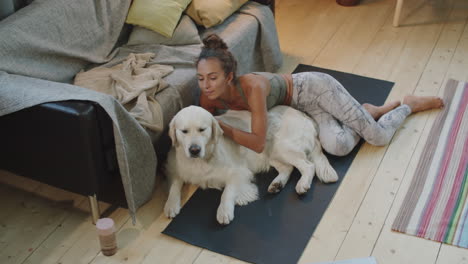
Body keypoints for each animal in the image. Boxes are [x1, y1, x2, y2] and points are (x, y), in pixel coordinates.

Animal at [164, 105, 336, 225]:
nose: (194, 150)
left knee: (308, 166)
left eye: (202, 129)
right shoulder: (174, 167)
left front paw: (224, 211)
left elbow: (227, 191)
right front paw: (170, 205)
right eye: (184, 131)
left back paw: (302, 184)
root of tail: (306, 117)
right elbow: (174, 185)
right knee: (288, 168)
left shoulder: (238, 171)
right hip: (273, 153)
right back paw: (277, 184)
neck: (202, 159)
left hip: (283, 146)